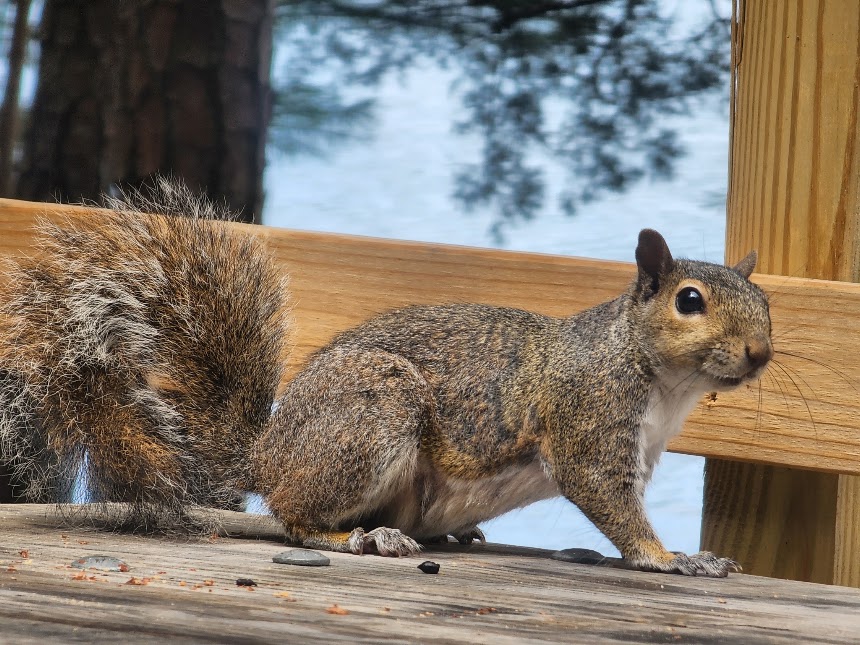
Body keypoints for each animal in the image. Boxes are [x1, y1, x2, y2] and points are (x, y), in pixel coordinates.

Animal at [0, 180, 772, 576]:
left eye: (765, 302)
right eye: (690, 301)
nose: (762, 353)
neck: (662, 383)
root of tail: (270, 451)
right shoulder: (589, 417)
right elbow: (610, 501)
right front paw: (670, 556)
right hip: (372, 416)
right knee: (296, 519)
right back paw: (360, 539)